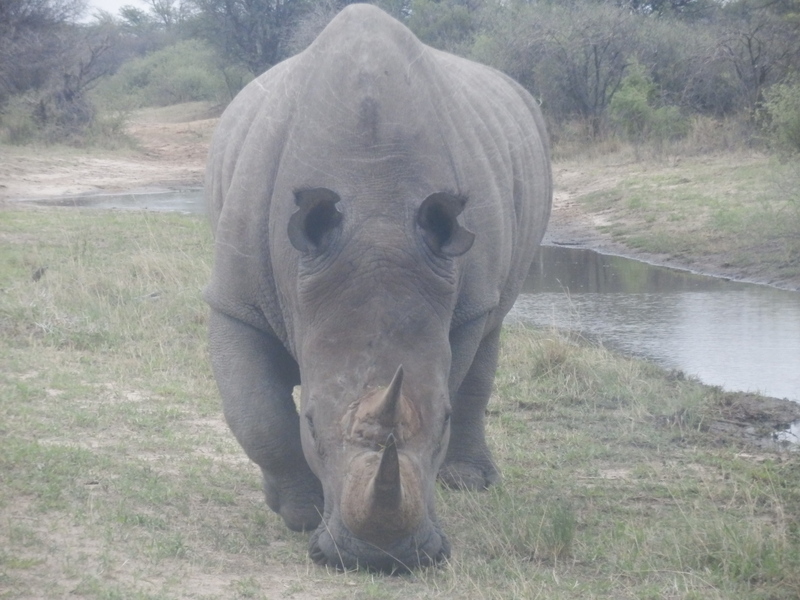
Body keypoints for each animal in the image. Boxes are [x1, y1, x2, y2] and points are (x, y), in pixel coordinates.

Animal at [203, 3, 552, 572]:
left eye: (443, 423)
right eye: (311, 423)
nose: (379, 559)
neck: (374, 200)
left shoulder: (461, 300)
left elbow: (455, 371)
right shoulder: (236, 302)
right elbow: (257, 414)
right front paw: (299, 512)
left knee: (492, 324)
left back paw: (470, 484)